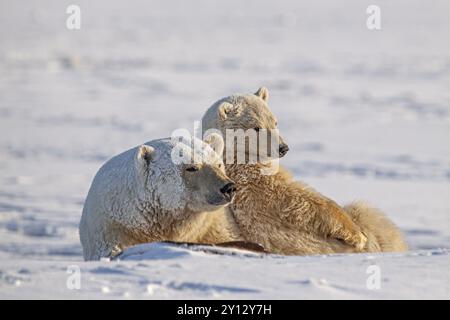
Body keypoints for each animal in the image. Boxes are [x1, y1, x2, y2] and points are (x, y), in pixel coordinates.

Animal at [201, 85, 408, 255]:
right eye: (256, 127)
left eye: (274, 121)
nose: (283, 148)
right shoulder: (252, 183)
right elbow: (300, 202)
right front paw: (358, 236)